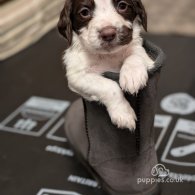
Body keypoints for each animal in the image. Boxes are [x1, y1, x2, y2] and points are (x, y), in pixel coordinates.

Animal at [58, 0, 154, 132]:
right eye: (84, 12)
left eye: (122, 6)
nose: (108, 34)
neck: (108, 56)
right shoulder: (76, 76)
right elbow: (109, 86)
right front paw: (124, 113)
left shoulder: (147, 58)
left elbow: (135, 54)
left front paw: (132, 76)